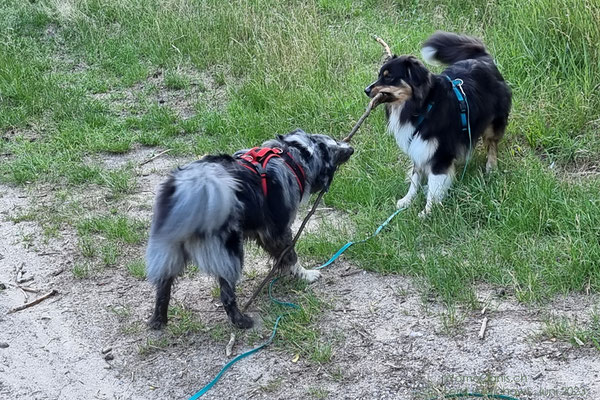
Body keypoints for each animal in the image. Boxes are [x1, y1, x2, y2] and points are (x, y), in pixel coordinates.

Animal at [145, 128, 352, 328]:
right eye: (333, 148)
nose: (351, 148)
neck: (292, 158)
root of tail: (192, 190)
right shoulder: (278, 230)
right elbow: (291, 255)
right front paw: (305, 275)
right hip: (230, 253)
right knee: (226, 295)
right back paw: (241, 321)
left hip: (170, 251)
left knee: (163, 287)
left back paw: (158, 321)